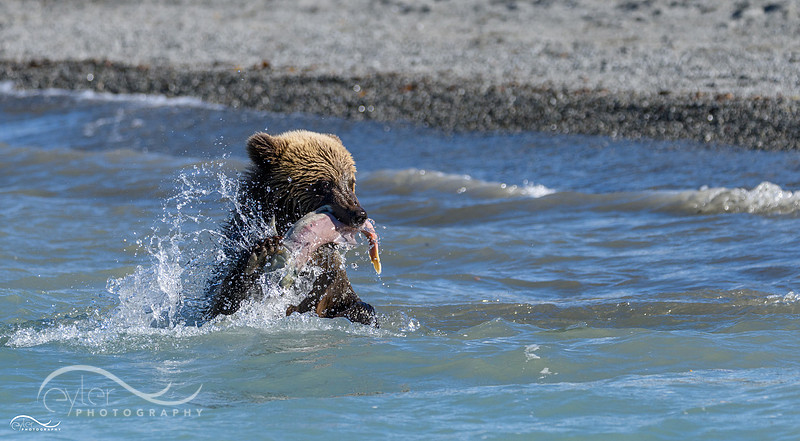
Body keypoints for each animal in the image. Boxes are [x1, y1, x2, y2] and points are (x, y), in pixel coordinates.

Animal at [201, 130, 379, 326]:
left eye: (350, 182)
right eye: (326, 183)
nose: (359, 214)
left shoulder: (329, 276)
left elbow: (347, 300)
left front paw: (361, 312)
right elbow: (221, 305)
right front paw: (259, 254)